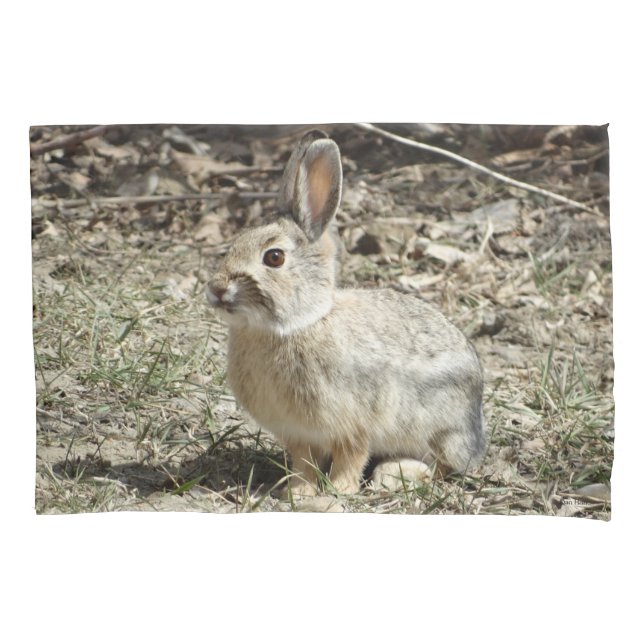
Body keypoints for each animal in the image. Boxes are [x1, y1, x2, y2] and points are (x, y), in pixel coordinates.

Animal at [206, 130, 485, 496]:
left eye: (274, 257)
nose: (216, 289)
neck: (297, 325)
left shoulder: (356, 424)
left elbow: (352, 456)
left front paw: (339, 490)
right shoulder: (299, 434)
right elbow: (305, 463)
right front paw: (298, 491)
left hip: (440, 428)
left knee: (444, 466)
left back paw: (399, 473)